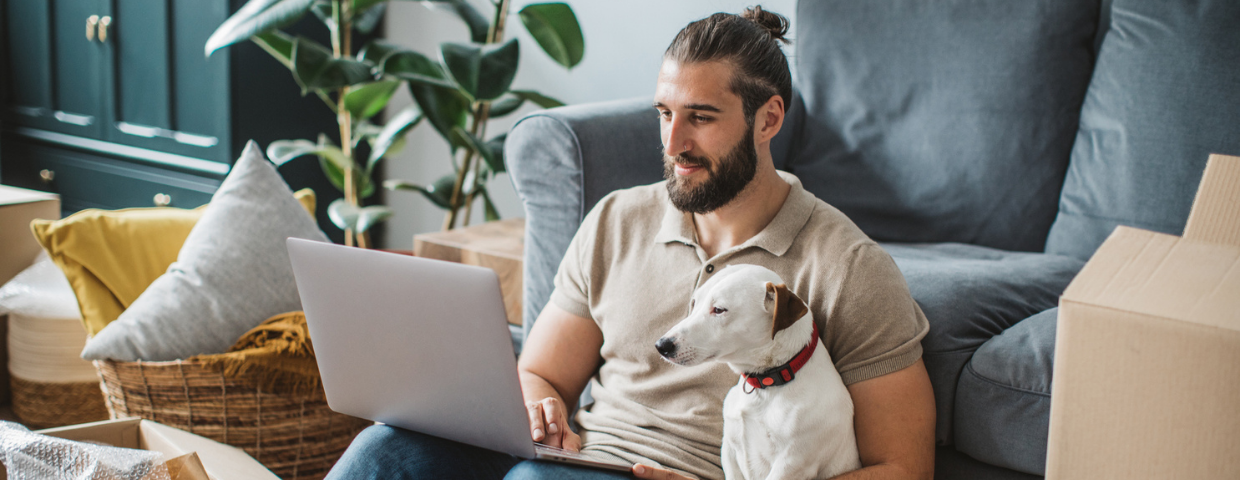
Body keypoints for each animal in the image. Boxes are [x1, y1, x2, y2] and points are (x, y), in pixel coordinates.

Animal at [654, 265, 858, 478]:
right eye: (695, 303)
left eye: (719, 310)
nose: (661, 345)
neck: (767, 383)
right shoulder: (729, 448)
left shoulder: (792, 464)